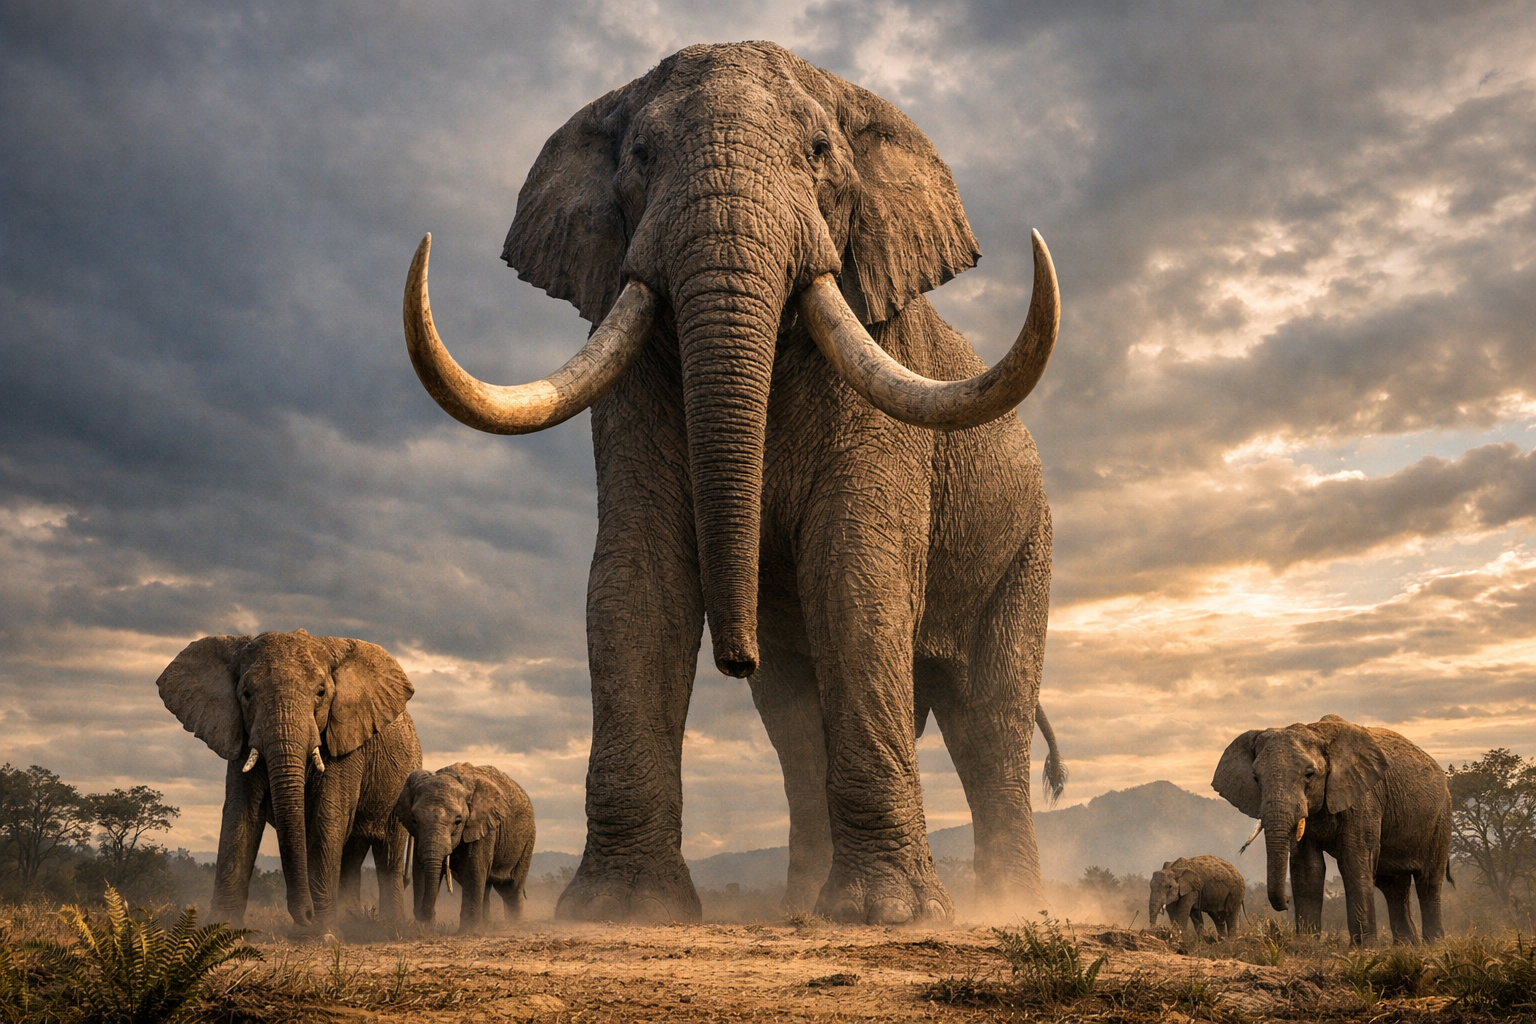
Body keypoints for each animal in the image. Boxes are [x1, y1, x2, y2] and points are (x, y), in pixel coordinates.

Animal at [157, 629, 422, 930]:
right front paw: (220, 929)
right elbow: (240, 816)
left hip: (404, 777)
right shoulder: (240, 736)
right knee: (352, 850)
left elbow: (326, 816)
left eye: (321, 693)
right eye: (246, 694)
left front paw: (322, 932)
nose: (305, 916)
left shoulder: (345, 740)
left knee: (388, 850)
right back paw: (351, 920)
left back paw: (389, 925)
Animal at [392, 763, 536, 932]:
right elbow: (419, 869)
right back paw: (488, 926)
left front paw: (468, 931)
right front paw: (425, 929)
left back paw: (515, 925)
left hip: (527, 840)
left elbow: (473, 869)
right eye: (414, 819)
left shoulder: (483, 826)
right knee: (488, 887)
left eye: (458, 821)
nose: (423, 913)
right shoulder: (418, 835)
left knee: (511, 887)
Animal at [402, 41, 1061, 925]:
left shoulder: (881, 365)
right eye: (641, 156)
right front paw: (622, 912)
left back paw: (1013, 910)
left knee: (989, 718)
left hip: (1028, 543)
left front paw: (888, 916)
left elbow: (856, 575)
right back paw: (807, 901)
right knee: (796, 723)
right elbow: (636, 584)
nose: (734, 657)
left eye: (818, 154)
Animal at [1212, 714, 1452, 945]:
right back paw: (1406, 946)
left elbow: (1354, 861)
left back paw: (1434, 945)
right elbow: (1308, 868)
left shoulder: (1363, 799)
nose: (1287, 901)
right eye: (1255, 778)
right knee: (1393, 886)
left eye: (1309, 774)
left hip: (1440, 819)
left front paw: (1364, 948)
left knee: (1428, 880)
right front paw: (1306, 946)